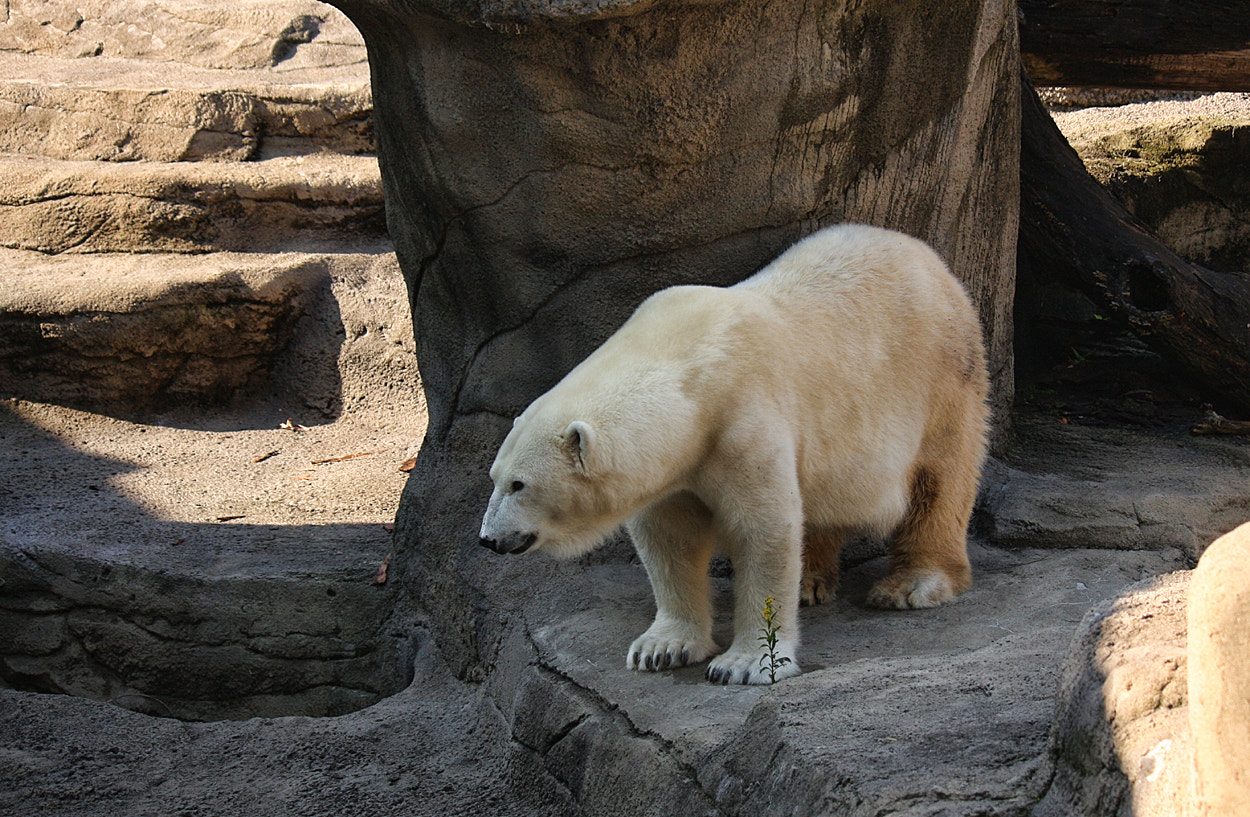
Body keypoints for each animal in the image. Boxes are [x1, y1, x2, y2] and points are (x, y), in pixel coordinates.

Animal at [478, 223, 989, 684]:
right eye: (494, 478)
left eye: (520, 484)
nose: (486, 539)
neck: (690, 369)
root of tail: (929, 257)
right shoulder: (676, 464)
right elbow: (669, 539)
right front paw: (661, 648)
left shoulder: (741, 421)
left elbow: (763, 530)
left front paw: (742, 664)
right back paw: (812, 580)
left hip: (941, 377)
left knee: (939, 479)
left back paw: (911, 583)